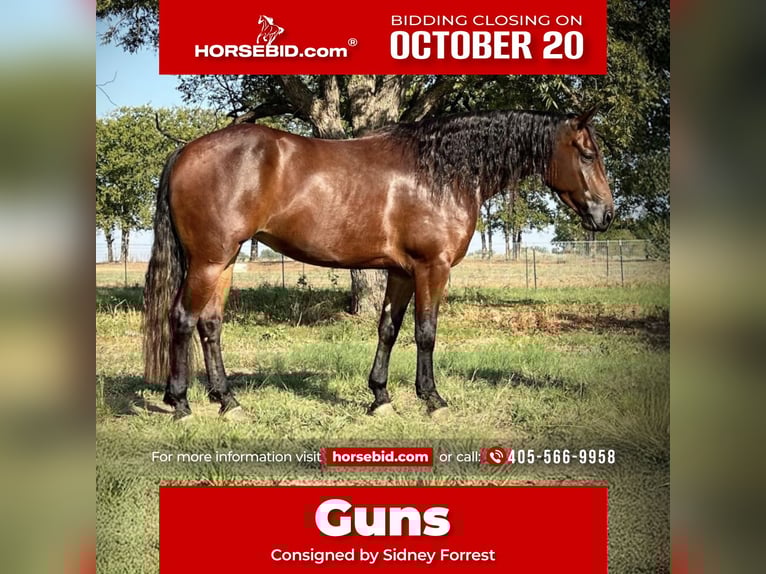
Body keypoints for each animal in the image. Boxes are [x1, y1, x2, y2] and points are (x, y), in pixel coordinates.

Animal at [143, 109, 614, 420]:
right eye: (588, 154)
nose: (606, 214)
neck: (440, 172)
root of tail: (185, 151)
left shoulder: (402, 271)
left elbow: (389, 328)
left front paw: (381, 397)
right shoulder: (432, 267)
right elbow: (426, 332)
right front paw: (433, 399)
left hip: (224, 261)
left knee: (210, 325)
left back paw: (228, 401)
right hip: (208, 261)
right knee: (183, 319)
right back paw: (181, 403)